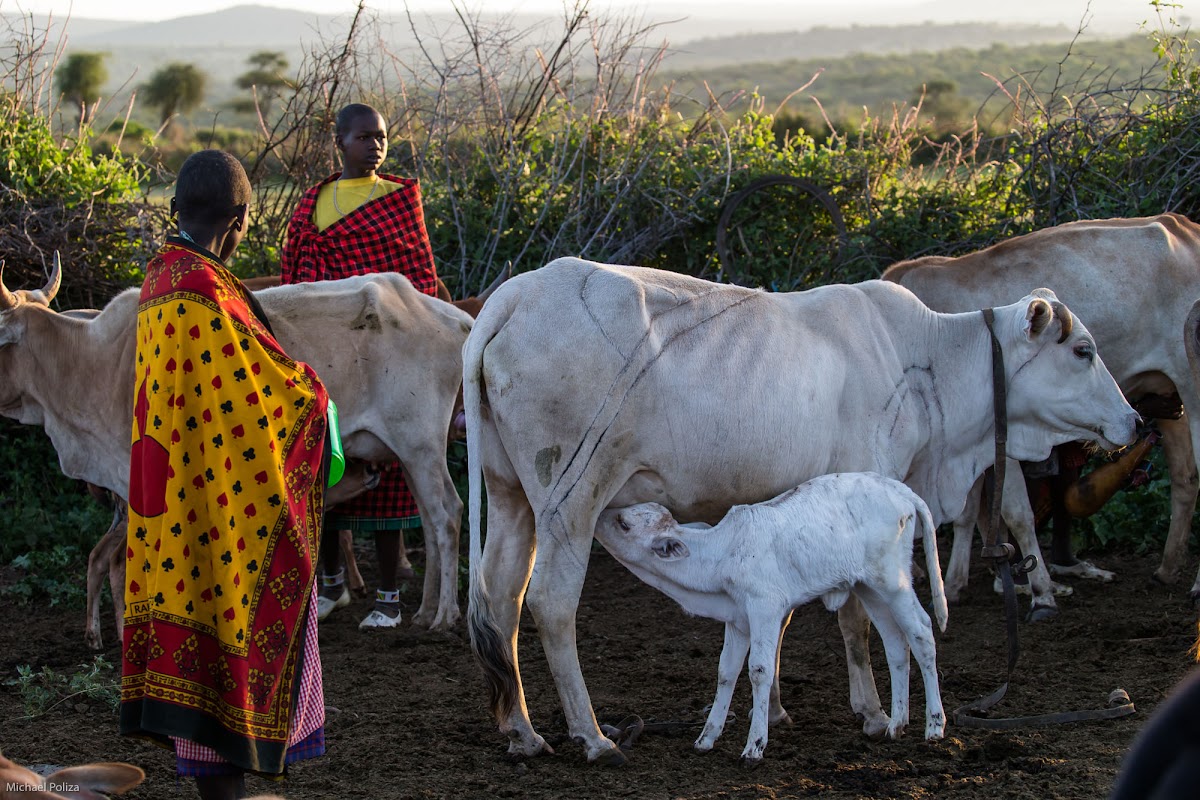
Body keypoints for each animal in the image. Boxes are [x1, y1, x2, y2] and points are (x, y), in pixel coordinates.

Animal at [0, 260, 472, 641]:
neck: (92, 363)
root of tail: (454, 316)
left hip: (420, 442)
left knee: (447, 513)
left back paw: (444, 616)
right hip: (410, 452)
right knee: (430, 520)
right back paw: (425, 609)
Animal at [594, 472, 948, 764]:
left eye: (624, 523)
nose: (598, 517)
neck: (722, 556)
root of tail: (899, 488)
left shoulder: (765, 607)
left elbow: (760, 670)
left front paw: (754, 746)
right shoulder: (738, 620)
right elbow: (726, 672)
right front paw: (706, 738)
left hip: (893, 582)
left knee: (922, 632)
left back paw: (934, 726)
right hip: (869, 587)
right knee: (895, 642)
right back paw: (897, 724)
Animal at [883, 213, 1200, 612]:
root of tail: (1184, 226)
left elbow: (1016, 512)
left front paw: (1040, 588)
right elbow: (970, 510)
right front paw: (958, 581)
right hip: (1170, 393)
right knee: (1186, 477)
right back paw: (1166, 569)